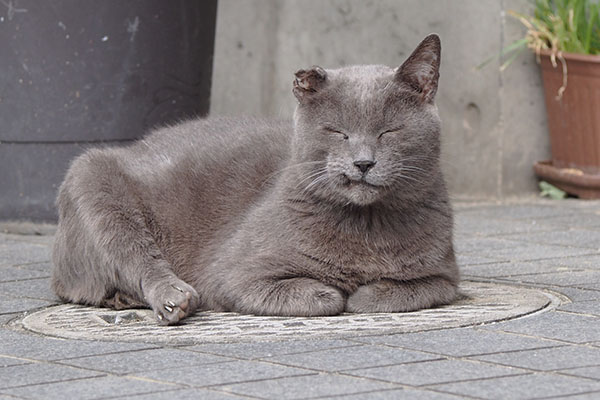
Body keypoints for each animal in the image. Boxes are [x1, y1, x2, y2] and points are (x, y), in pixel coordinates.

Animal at [52, 35, 460, 324]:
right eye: (337, 132)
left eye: (389, 132)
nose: (363, 162)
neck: (367, 229)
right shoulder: (234, 276)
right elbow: (322, 296)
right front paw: (339, 291)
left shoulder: (445, 277)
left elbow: (403, 292)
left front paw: (363, 293)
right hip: (97, 183)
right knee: (133, 261)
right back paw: (172, 299)